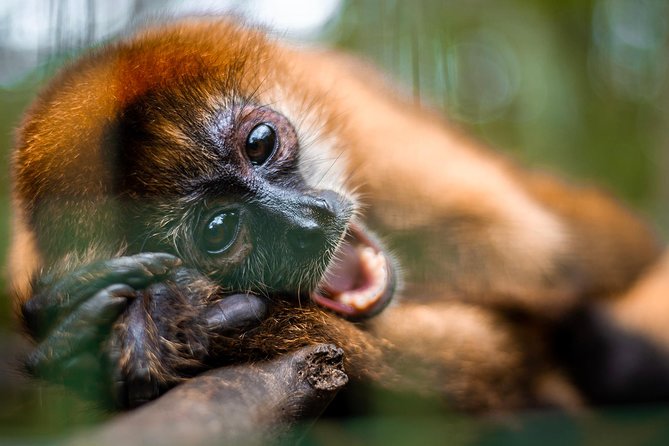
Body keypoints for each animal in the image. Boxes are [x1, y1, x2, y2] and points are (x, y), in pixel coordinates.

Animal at [7, 18, 664, 412]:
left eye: (261, 143)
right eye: (218, 231)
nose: (308, 222)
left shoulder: (360, 118)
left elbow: (533, 253)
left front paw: (168, 315)